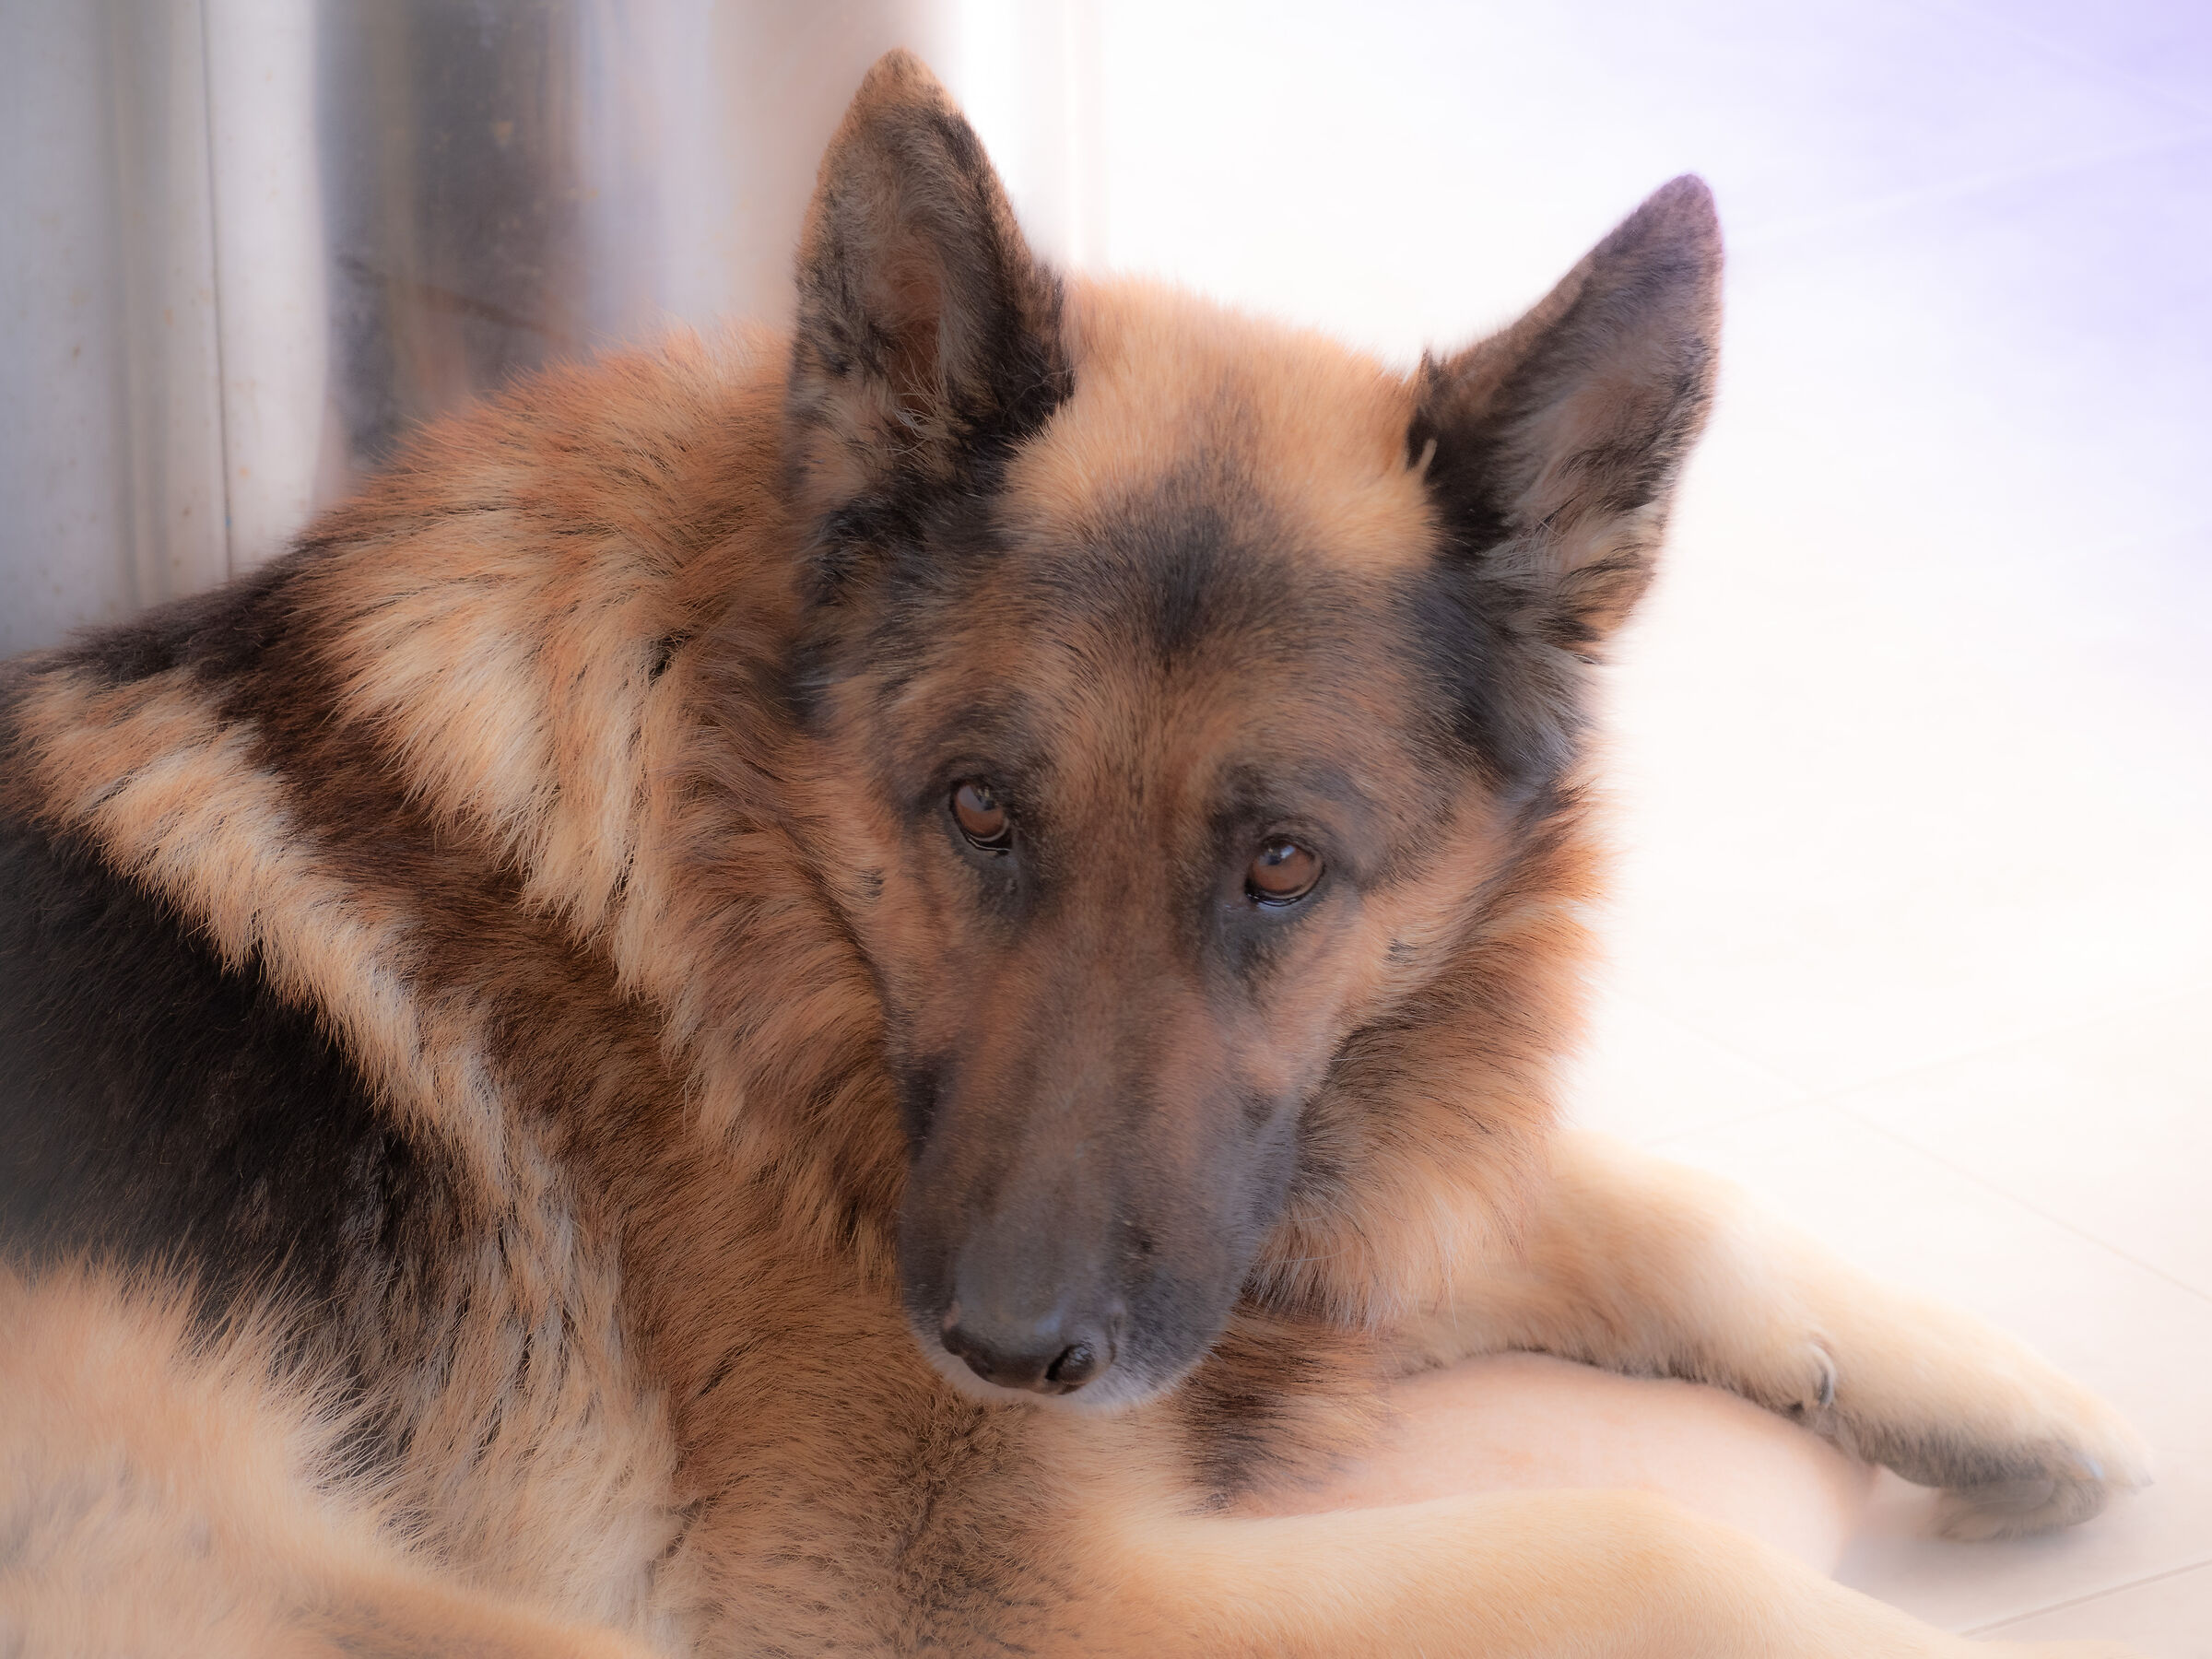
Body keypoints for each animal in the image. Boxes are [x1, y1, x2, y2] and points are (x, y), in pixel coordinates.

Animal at [0, 50, 2146, 1658]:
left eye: (1281, 867)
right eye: (979, 814)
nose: (1012, 1351)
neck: (716, 892)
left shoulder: (1277, 1196)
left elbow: (1634, 1199)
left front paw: (2007, 1387)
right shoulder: (1011, 1598)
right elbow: (1648, 1541)